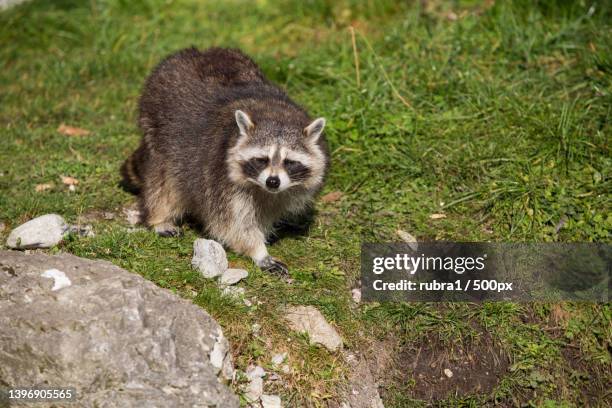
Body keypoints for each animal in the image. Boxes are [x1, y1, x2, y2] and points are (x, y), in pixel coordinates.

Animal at [120, 47, 330, 276]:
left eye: (289, 162)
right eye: (262, 159)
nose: (272, 182)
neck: (276, 116)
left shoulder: (280, 194)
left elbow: (266, 211)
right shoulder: (219, 173)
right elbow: (232, 224)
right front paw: (258, 251)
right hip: (159, 129)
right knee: (164, 183)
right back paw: (159, 218)